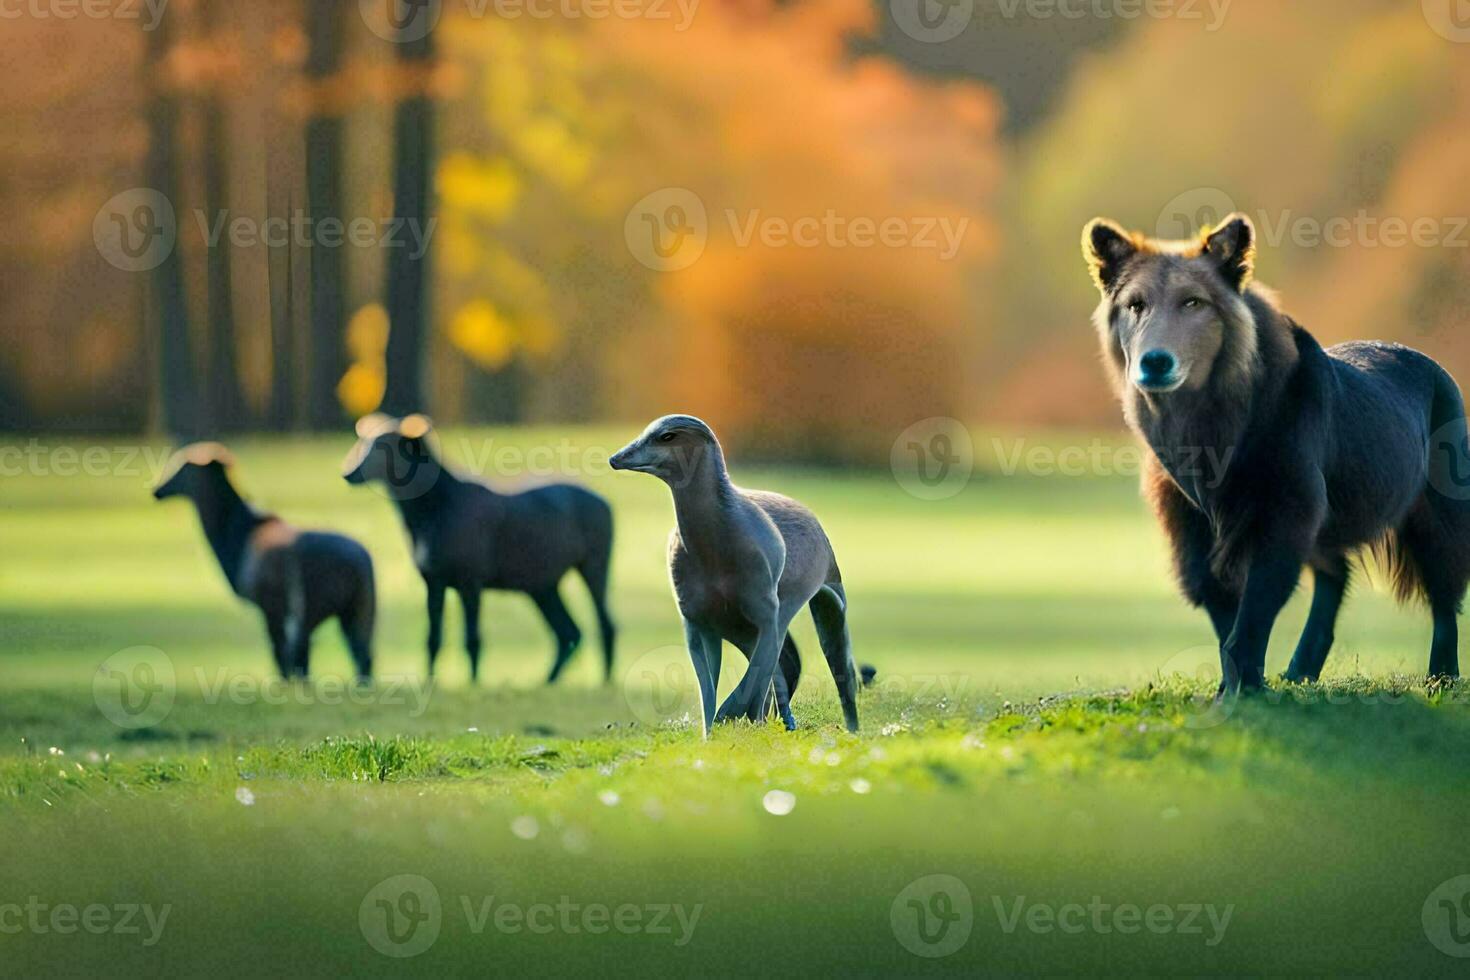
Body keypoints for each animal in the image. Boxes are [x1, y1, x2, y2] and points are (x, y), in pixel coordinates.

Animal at [1081, 211, 1470, 693]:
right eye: (1135, 305)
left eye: (1194, 302)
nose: (1155, 362)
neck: (1204, 423)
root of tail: (1434, 366)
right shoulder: (1194, 533)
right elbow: (1227, 622)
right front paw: (1242, 690)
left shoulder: (1284, 516)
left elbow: (1251, 619)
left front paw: (1241, 695)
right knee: (1335, 580)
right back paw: (1301, 670)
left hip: (1438, 517)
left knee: (1445, 597)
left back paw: (1442, 677)